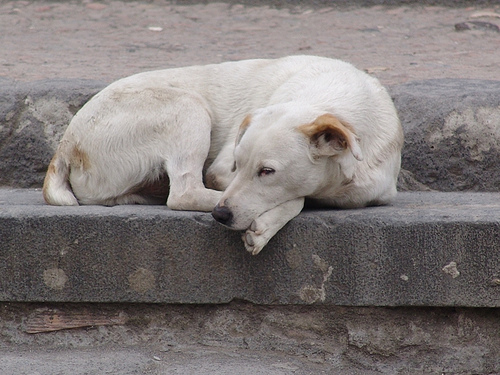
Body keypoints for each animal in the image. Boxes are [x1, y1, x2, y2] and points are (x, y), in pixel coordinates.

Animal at [42, 55, 402, 256]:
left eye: (267, 171)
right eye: (238, 165)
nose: (221, 215)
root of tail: (65, 143)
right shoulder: (222, 171)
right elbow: (297, 198)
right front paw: (265, 225)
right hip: (189, 106)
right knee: (183, 193)